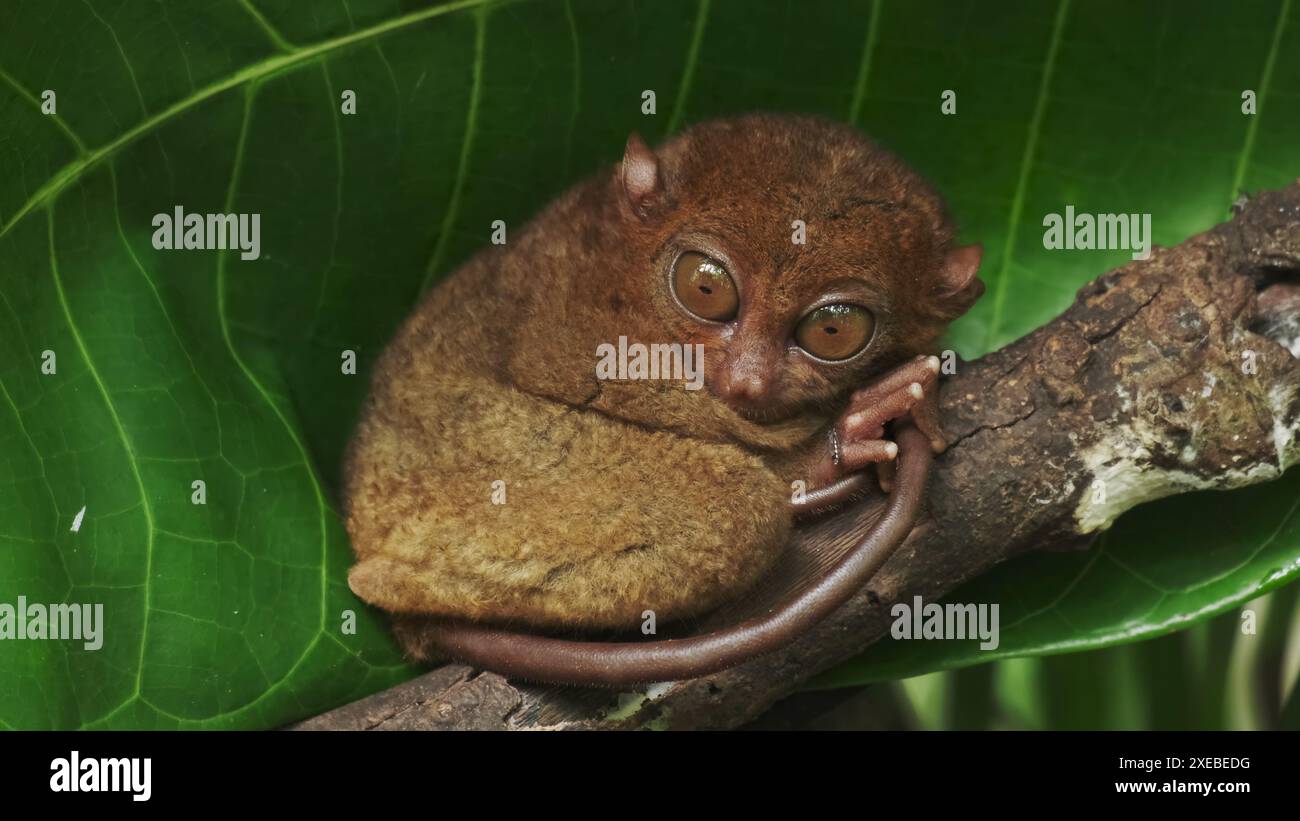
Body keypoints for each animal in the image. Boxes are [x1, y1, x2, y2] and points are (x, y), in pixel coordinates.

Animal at [343, 113, 984, 687]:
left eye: (833, 331)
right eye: (705, 288)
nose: (747, 382)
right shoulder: (570, 312)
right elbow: (589, 377)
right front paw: (837, 437)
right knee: (738, 508)